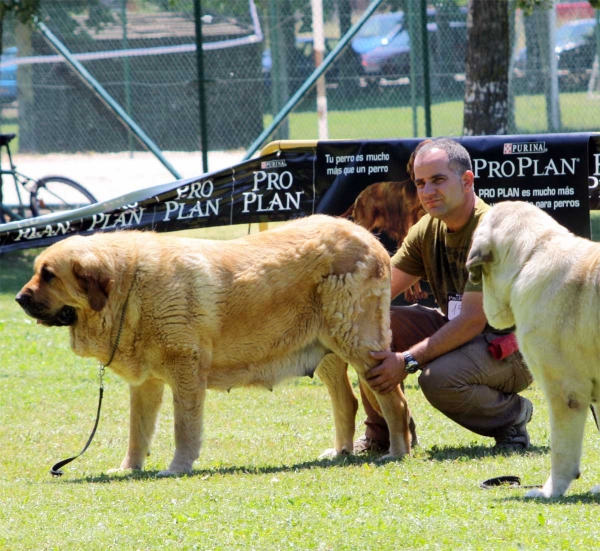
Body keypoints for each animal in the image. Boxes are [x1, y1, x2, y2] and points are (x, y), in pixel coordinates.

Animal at [16, 218, 410, 476]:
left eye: (49, 275)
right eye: (37, 272)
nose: (19, 299)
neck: (129, 288)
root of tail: (370, 239)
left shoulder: (186, 371)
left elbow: (184, 428)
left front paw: (177, 467)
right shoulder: (146, 384)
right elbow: (137, 431)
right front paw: (129, 468)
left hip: (359, 345)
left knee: (395, 400)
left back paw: (396, 452)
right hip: (326, 349)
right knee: (347, 400)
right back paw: (341, 451)